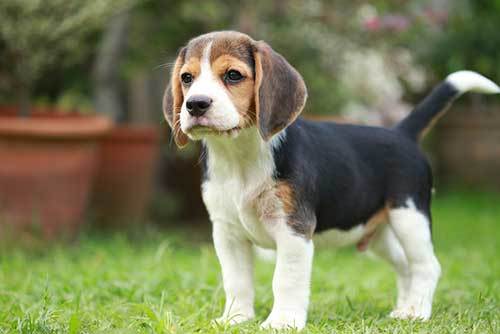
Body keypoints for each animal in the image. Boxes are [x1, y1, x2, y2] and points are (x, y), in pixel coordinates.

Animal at [162, 30, 498, 328]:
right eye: (187, 78)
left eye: (233, 75)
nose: (195, 104)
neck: (239, 155)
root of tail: (402, 132)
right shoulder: (227, 233)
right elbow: (236, 281)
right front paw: (235, 319)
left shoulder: (293, 229)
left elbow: (285, 280)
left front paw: (282, 322)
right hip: (377, 232)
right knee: (405, 266)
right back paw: (404, 308)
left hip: (409, 216)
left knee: (426, 265)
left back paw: (416, 312)